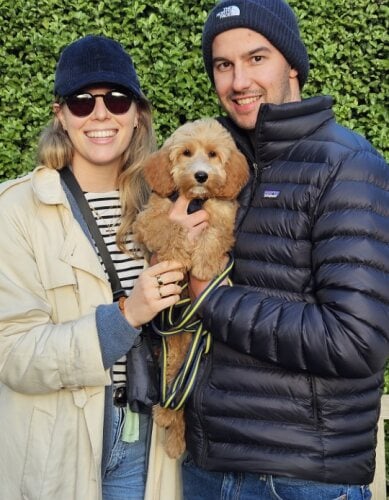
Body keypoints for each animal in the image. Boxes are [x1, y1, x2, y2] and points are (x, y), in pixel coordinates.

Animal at [133, 119, 249, 458]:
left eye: (212, 154)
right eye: (186, 153)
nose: (201, 176)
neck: (195, 199)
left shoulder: (224, 217)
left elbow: (214, 235)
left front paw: (204, 266)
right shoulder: (149, 218)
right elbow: (170, 227)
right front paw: (179, 254)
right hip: (172, 355)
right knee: (172, 391)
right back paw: (164, 419)